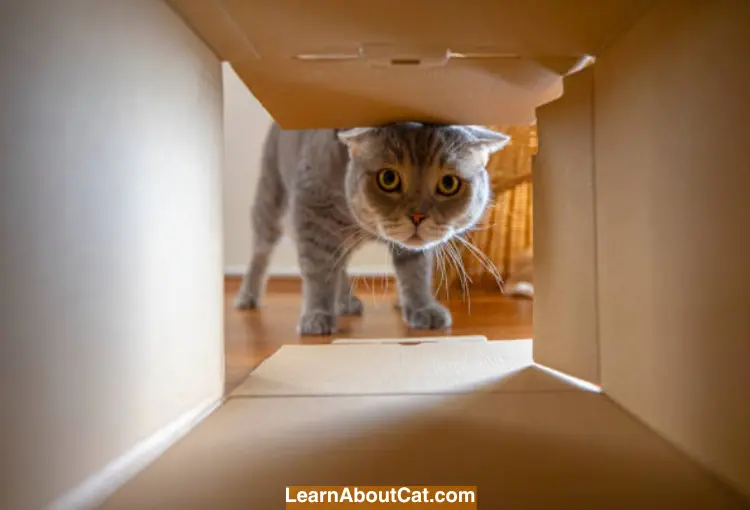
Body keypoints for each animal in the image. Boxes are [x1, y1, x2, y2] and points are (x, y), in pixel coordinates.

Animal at [235, 119, 512, 334]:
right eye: (388, 178)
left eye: (448, 183)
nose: (417, 215)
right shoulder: (312, 214)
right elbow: (318, 271)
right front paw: (316, 315)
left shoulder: (413, 248)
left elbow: (415, 271)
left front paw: (420, 307)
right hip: (271, 202)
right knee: (260, 254)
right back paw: (247, 296)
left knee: (341, 266)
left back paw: (346, 301)